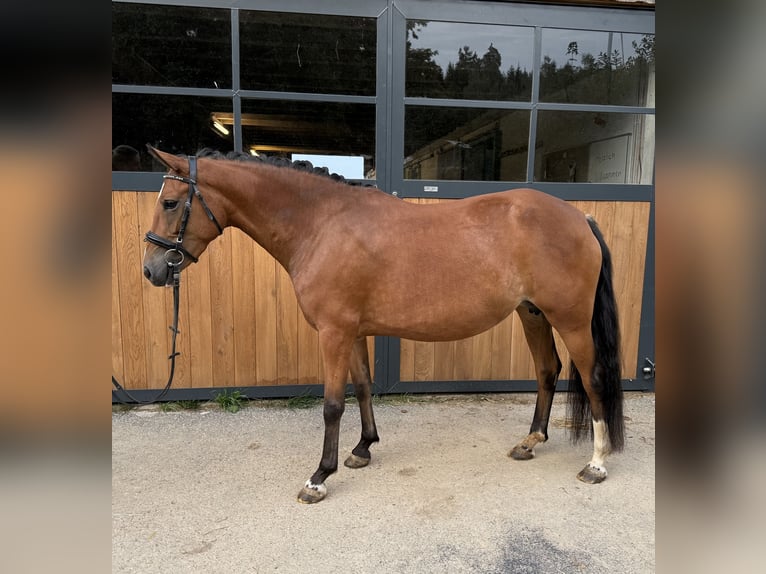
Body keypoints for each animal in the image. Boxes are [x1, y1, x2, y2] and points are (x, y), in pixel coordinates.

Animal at [142, 146, 624, 504]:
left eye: (170, 203)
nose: (151, 270)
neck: (322, 225)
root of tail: (580, 218)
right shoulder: (352, 332)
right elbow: (362, 388)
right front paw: (362, 449)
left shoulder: (334, 332)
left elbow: (332, 404)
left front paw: (319, 477)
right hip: (532, 313)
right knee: (548, 370)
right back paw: (530, 442)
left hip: (571, 320)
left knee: (593, 377)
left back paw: (597, 463)